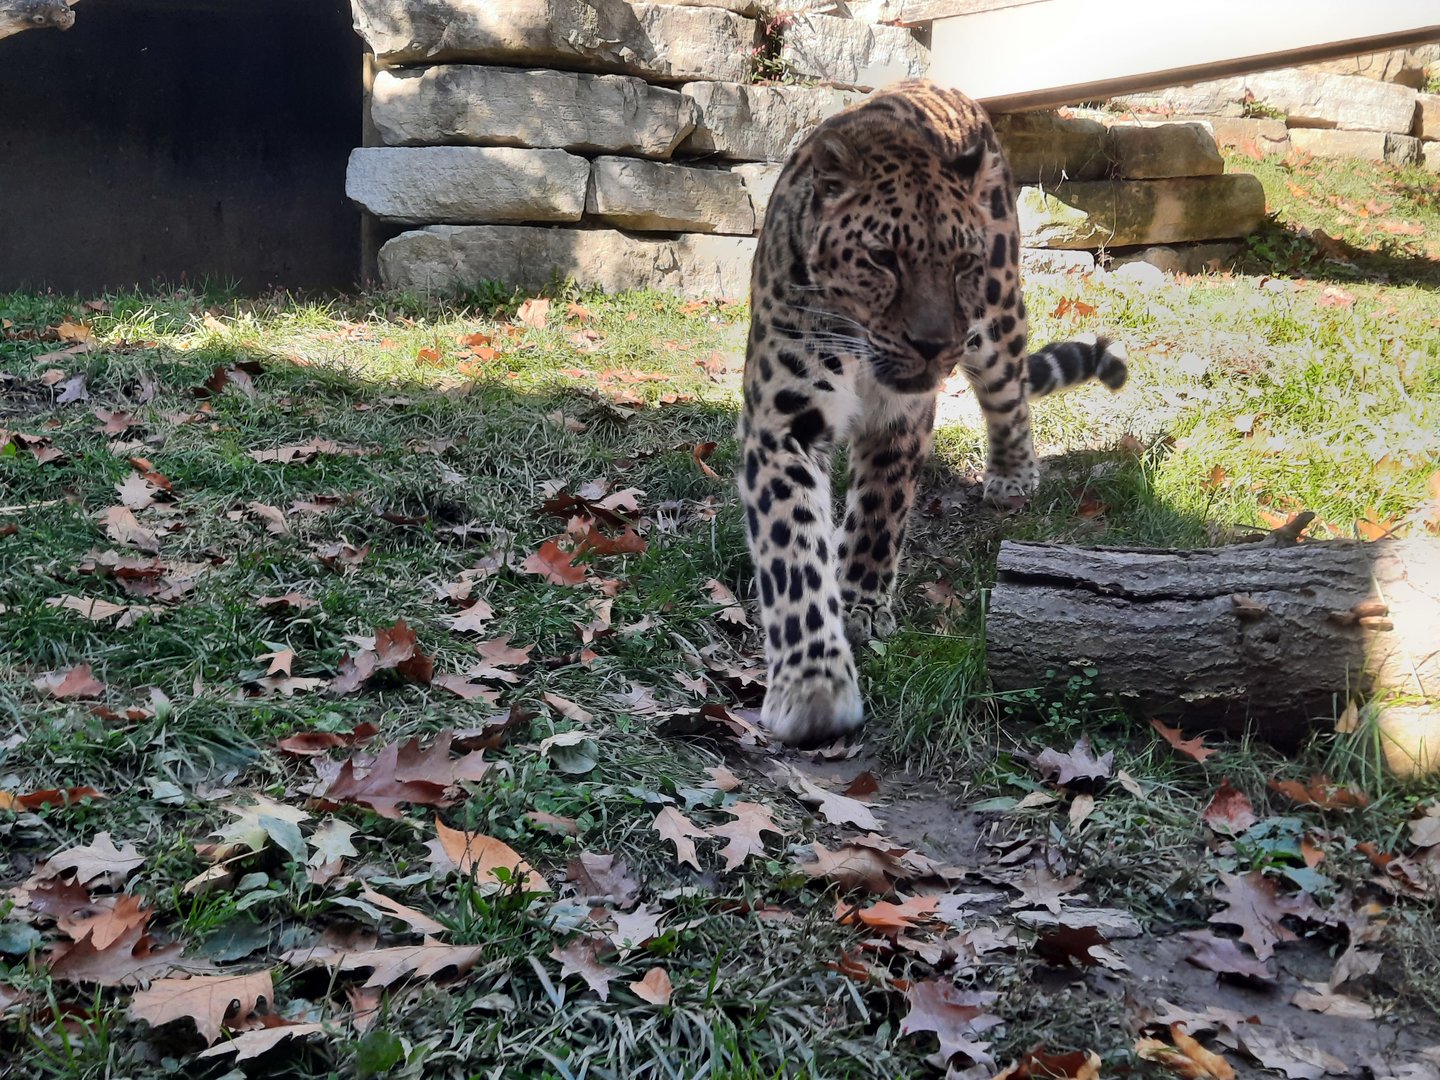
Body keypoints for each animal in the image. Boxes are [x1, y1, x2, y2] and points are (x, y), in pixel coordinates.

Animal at [737, 79, 1128, 749]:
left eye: (962, 262)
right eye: (881, 258)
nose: (934, 345)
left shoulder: (904, 415)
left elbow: (879, 515)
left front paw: (860, 604)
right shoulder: (782, 423)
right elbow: (794, 555)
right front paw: (813, 686)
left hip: (998, 320)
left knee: (1009, 396)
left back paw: (1012, 475)